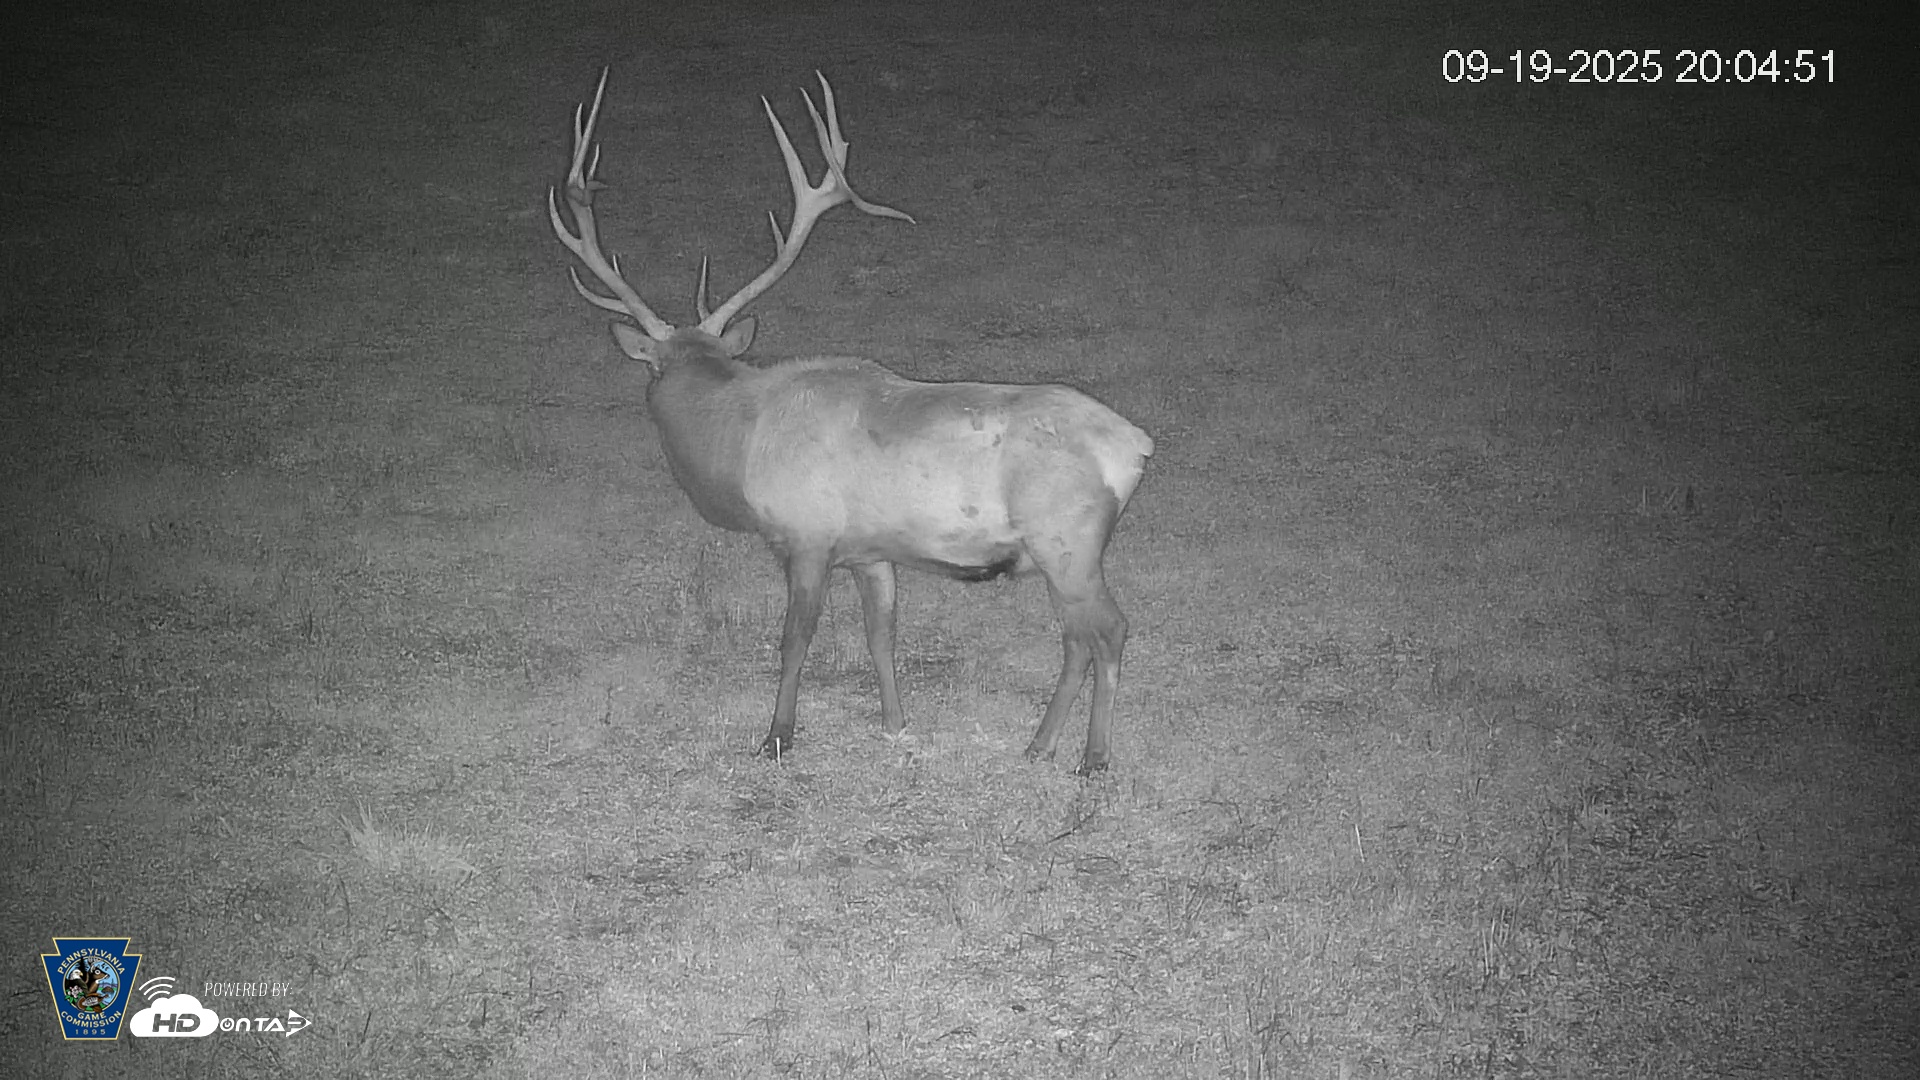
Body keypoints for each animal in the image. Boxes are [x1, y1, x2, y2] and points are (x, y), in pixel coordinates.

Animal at [549, 69, 1153, 773]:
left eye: (652, 368)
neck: (742, 446)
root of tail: (1136, 446)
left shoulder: (807, 536)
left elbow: (794, 640)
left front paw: (776, 737)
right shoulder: (872, 551)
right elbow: (880, 635)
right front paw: (894, 723)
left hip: (1068, 537)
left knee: (1109, 629)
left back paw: (1093, 758)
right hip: (1057, 553)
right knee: (1077, 637)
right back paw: (1038, 745)